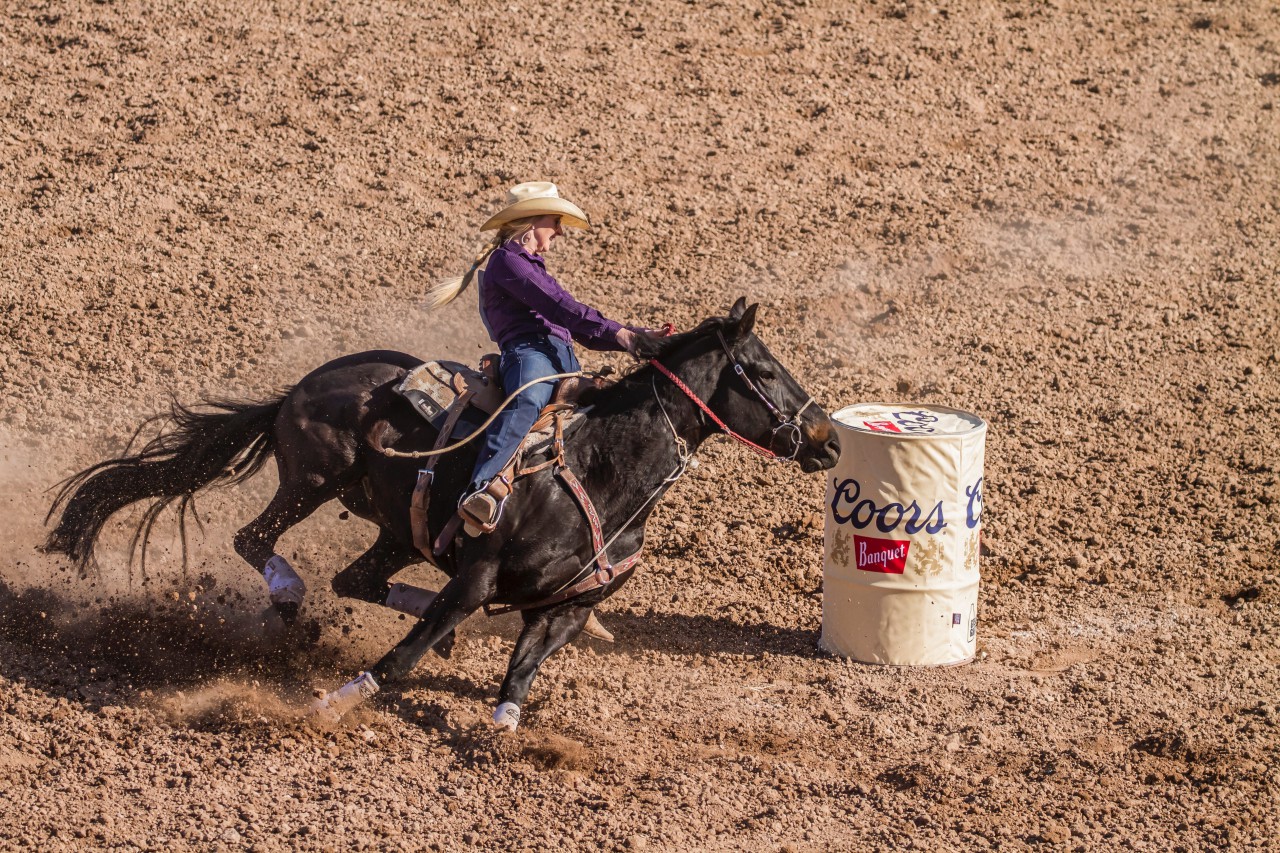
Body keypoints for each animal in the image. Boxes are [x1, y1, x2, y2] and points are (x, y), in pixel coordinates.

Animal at [45, 298, 839, 722]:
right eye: (762, 371)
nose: (828, 439)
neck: (602, 467)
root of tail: (306, 383)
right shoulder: (477, 577)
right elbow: (403, 658)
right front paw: (336, 702)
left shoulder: (567, 606)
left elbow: (519, 675)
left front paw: (507, 726)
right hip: (313, 478)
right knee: (255, 539)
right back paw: (289, 591)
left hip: (396, 528)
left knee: (357, 579)